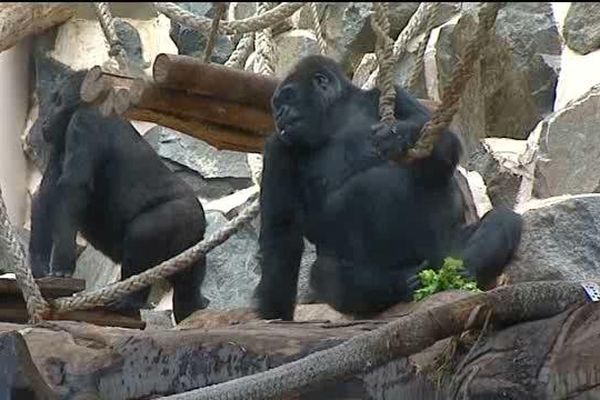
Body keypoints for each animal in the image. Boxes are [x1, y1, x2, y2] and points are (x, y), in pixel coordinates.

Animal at [29, 70, 210, 324]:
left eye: (57, 99)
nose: (45, 120)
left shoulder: (85, 122)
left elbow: (72, 189)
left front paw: (62, 266)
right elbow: (45, 195)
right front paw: (38, 264)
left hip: (185, 214)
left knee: (143, 233)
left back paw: (131, 300)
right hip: (191, 241)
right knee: (189, 275)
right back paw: (191, 307)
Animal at [255, 55, 524, 322]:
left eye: (288, 97)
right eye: (277, 104)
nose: (279, 114)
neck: (337, 118)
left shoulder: (396, 94)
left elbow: (443, 145)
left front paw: (400, 135)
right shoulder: (277, 146)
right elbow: (281, 230)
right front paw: (274, 313)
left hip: (447, 248)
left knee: (502, 221)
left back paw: (463, 270)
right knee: (326, 273)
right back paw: (402, 283)